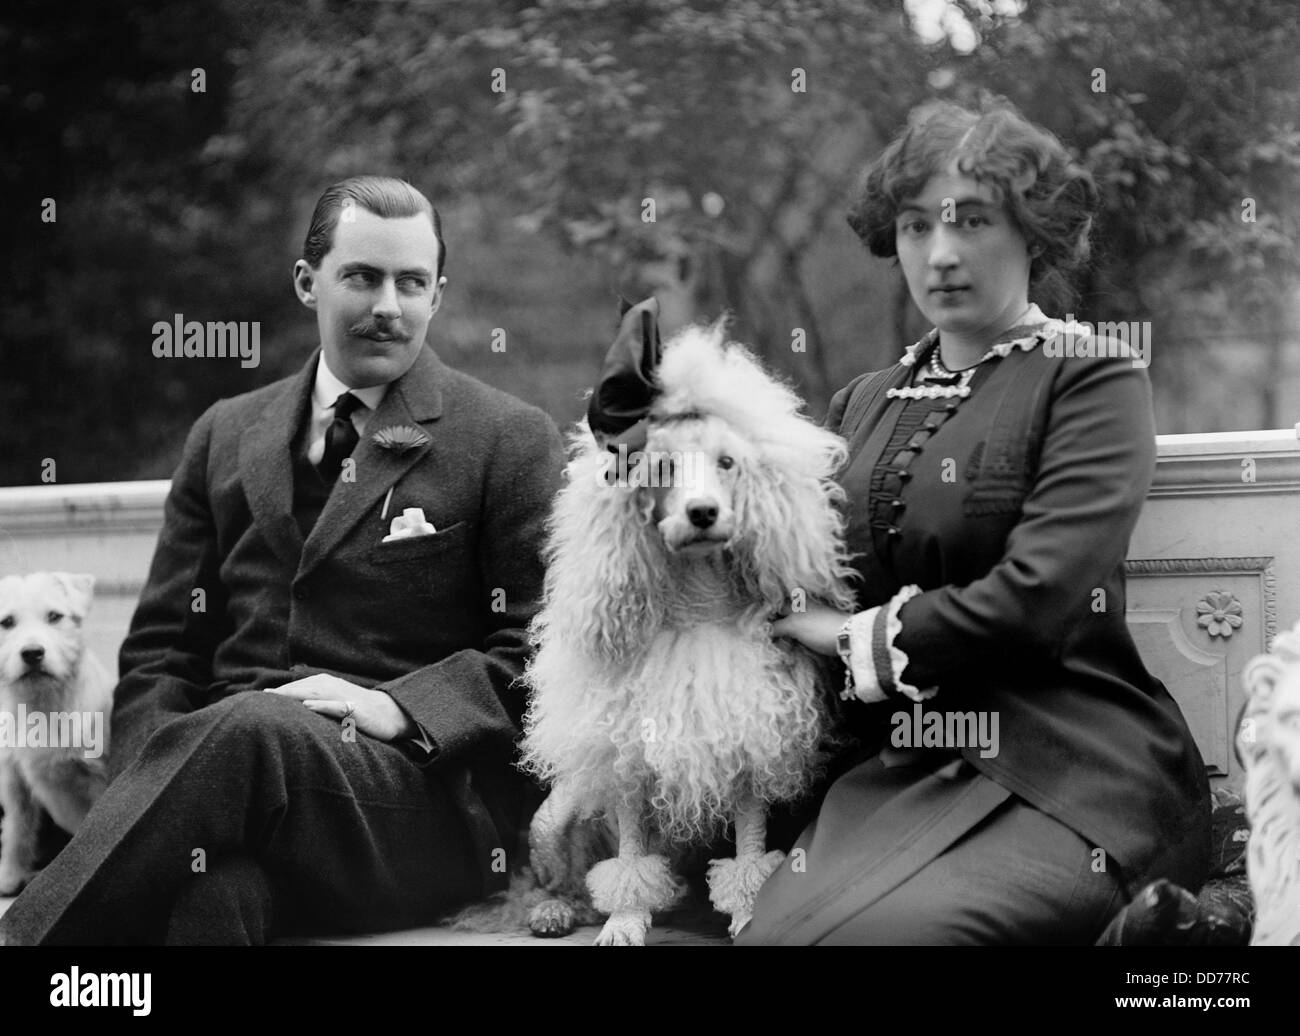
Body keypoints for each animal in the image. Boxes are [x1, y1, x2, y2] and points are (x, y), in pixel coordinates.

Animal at [0, 569, 112, 894]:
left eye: (54, 616)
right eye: (6, 622)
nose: (33, 653)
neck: (42, 702)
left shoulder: (98, 778)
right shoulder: (15, 780)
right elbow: (17, 828)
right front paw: (10, 874)